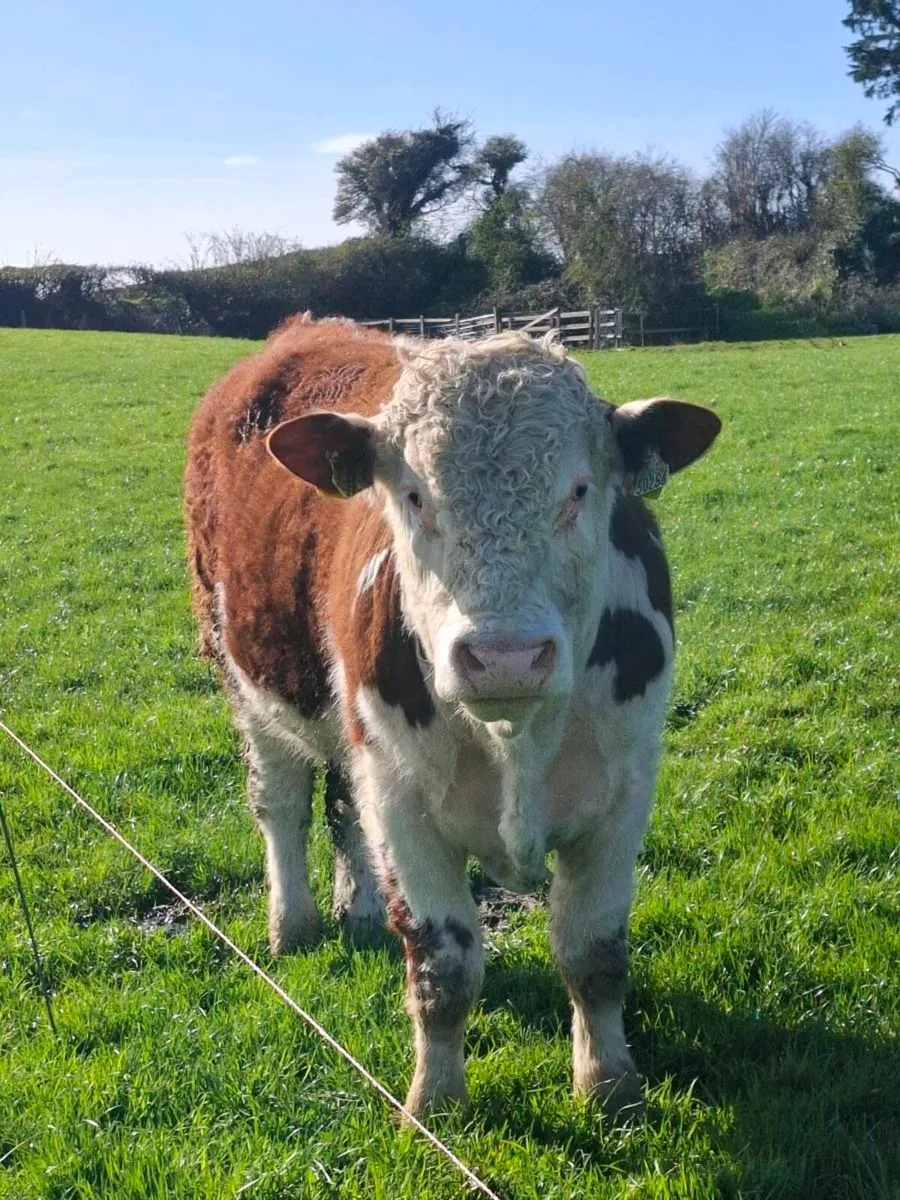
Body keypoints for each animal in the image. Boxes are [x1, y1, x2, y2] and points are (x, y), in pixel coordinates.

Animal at [184, 314, 720, 1118]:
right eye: (412, 495)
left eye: (580, 489)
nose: (504, 657)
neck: (517, 739)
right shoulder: (404, 806)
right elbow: (443, 967)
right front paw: (434, 1102)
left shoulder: (623, 796)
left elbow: (593, 953)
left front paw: (610, 1086)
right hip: (245, 679)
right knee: (280, 803)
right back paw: (293, 924)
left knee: (342, 807)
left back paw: (358, 909)